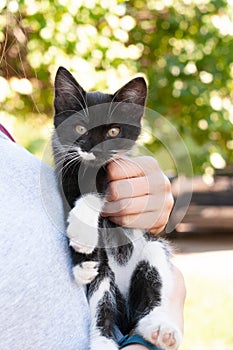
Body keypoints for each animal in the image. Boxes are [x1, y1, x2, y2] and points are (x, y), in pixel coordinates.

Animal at [52, 66, 182, 350]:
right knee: (102, 300)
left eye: (113, 132)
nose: (93, 149)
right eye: (79, 127)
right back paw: (102, 339)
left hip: (153, 249)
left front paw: (82, 228)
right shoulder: (65, 164)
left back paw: (158, 326)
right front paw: (82, 255)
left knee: (150, 288)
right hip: (105, 275)